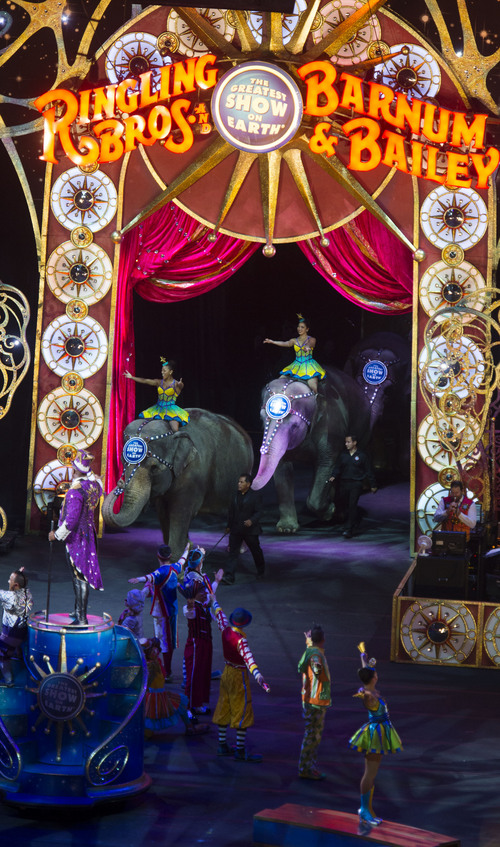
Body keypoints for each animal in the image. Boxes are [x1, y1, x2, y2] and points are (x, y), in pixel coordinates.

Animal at [101, 412, 252, 564]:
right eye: (123, 461)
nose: (120, 484)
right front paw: (183, 549)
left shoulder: (192, 477)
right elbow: (163, 513)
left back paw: (238, 549)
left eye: (154, 468)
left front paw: (176, 564)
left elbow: (179, 513)